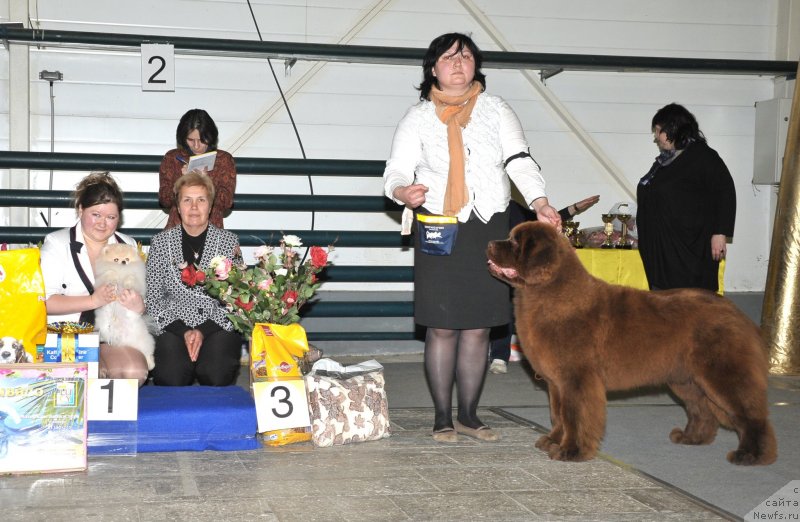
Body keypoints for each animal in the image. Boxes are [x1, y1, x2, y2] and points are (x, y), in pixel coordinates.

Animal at [484, 219, 780, 464]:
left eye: (515, 242)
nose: (489, 244)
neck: (549, 294)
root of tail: (736, 312)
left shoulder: (576, 379)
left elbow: (574, 415)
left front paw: (571, 451)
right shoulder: (556, 383)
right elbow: (558, 414)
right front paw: (553, 441)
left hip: (721, 373)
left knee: (751, 414)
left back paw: (752, 455)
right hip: (686, 379)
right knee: (702, 410)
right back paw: (690, 438)